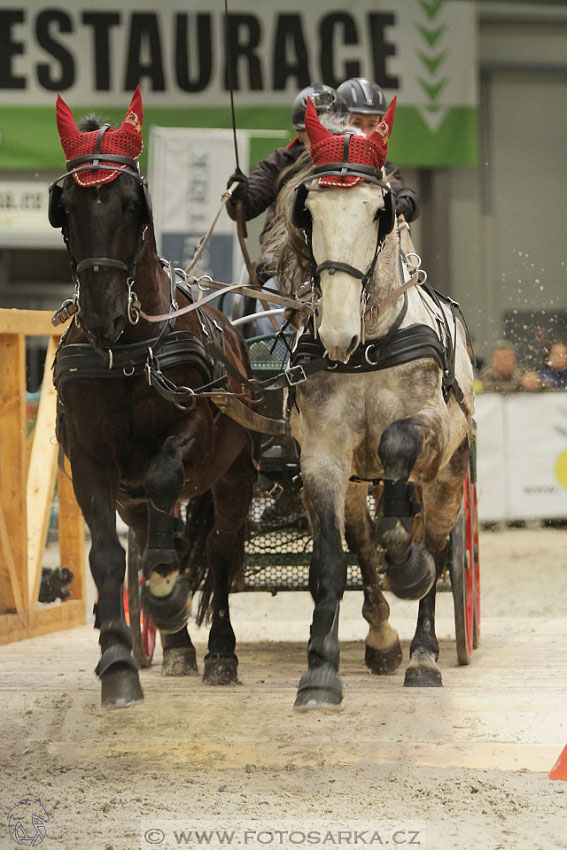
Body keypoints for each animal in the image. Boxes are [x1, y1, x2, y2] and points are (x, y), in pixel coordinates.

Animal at [51, 89, 260, 704]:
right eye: (67, 206)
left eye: (129, 204)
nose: (101, 314)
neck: (127, 349)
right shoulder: (89, 460)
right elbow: (105, 555)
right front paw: (118, 661)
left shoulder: (194, 429)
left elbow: (168, 474)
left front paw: (168, 591)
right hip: (133, 498)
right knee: (144, 538)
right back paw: (177, 648)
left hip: (235, 474)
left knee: (219, 550)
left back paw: (218, 652)